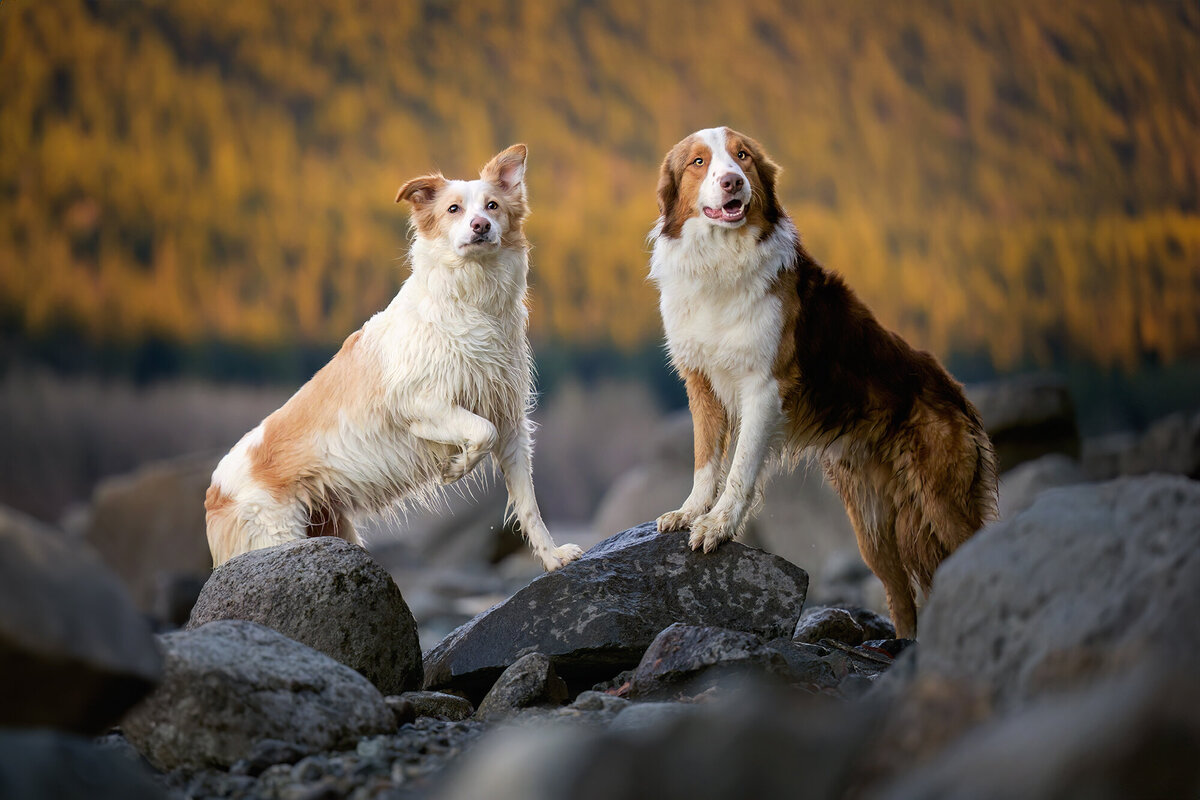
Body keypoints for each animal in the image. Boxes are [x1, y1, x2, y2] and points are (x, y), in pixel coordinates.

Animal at [204, 143, 583, 575]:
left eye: (493, 205)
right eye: (453, 209)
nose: (481, 226)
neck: (471, 299)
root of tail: (214, 491)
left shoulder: (511, 423)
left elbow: (528, 504)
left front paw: (553, 558)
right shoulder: (421, 405)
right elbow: (479, 431)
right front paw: (454, 469)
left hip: (331, 526)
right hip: (275, 539)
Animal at [652, 126, 998, 638]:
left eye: (743, 156)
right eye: (699, 162)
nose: (733, 182)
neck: (721, 259)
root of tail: (957, 395)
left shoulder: (763, 388)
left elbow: (738, 469)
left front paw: (718, 525)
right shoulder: (702, 384)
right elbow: (705, 460)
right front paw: (690, 511)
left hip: (941, 505)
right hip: (873, 527)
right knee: (901, 600)